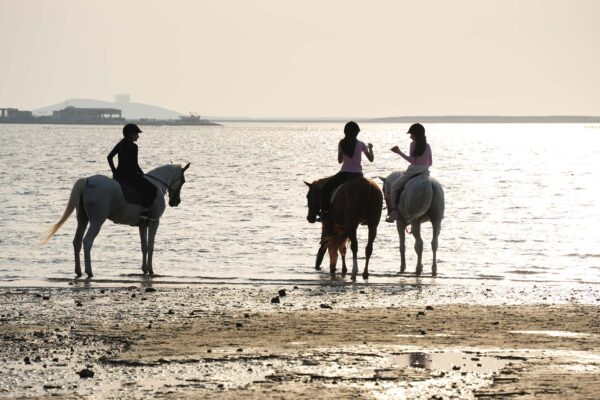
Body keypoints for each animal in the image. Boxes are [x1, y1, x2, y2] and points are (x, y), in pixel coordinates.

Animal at [41, 162, 190, 278]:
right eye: (183, 181)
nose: (175, 202)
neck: (157, 184)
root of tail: (88, 181)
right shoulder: (154, 222)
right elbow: (151, 246)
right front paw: (151, 270)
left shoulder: (143, 225)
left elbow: (144, 247)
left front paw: (144, 269)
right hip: (97, 221)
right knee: (87, 241)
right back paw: (89, 271)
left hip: (82, 219)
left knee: (76, 241)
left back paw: (78, 271)